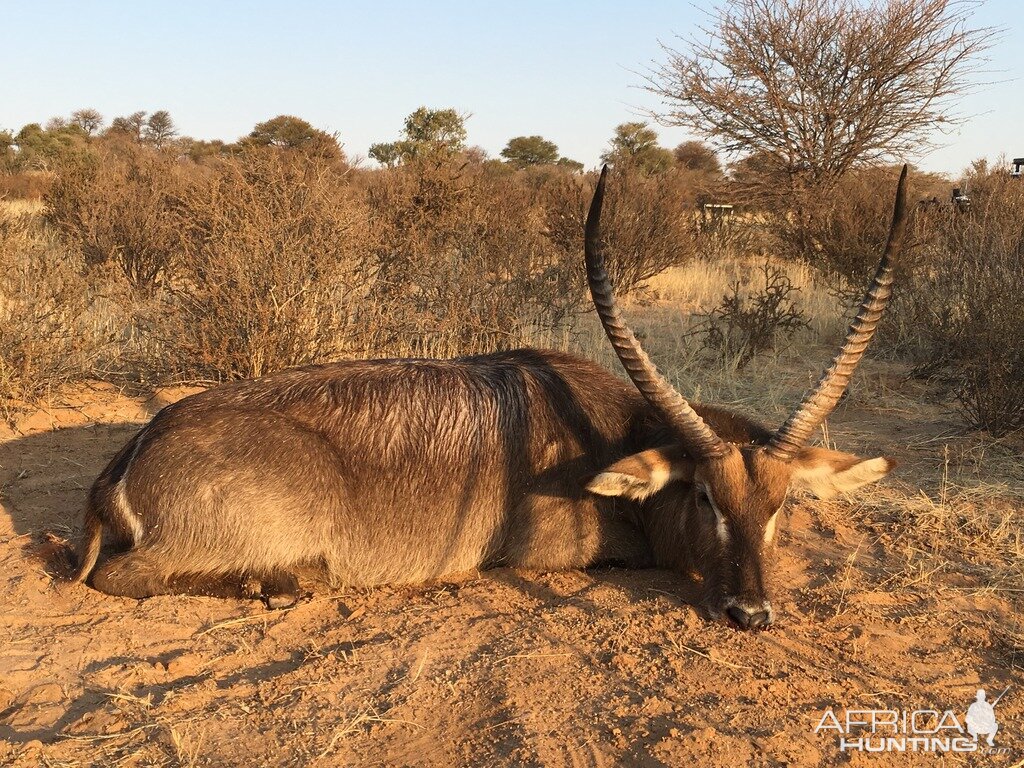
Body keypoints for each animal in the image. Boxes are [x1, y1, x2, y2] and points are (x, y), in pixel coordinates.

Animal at [77, 165, 913, 626]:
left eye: (781, 504)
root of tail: (134, 450)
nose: (750, 615)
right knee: (119, 579)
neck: (614, 430)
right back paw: (280, 582)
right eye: (705, 496)